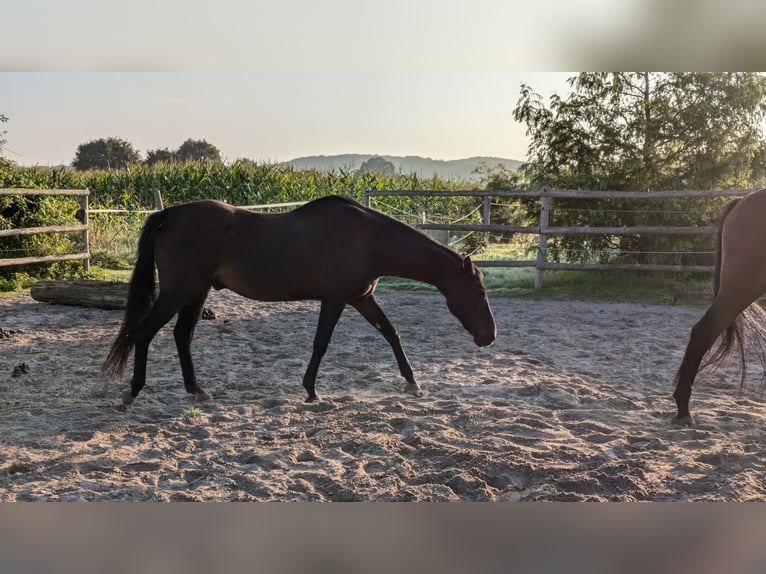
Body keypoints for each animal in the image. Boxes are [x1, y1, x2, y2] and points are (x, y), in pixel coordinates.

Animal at [102, 196, 498, 408]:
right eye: (479, 293)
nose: (489, 336)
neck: (368, 238)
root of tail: (170, 214)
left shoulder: (361, 298)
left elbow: (392, 333)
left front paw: (412, 383)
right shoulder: (335, 299)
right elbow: (321, 343)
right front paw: (310, 390)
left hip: (195, 293)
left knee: (181, 335)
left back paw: (197, 390)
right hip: (177, 292)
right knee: (144, 332)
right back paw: (133, 392)